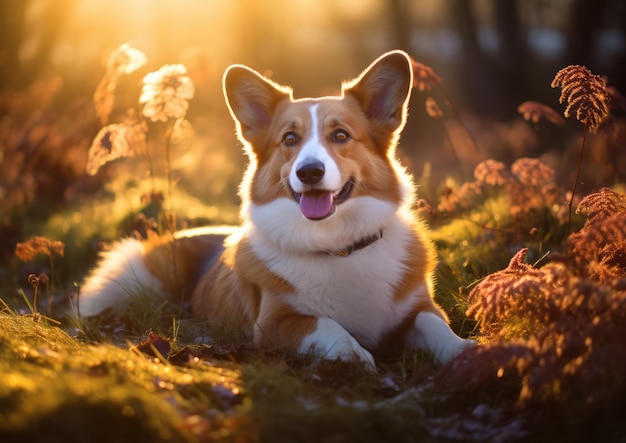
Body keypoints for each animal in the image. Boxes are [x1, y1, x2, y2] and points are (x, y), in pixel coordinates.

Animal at [81, 50, 472, 372]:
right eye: (289, 139)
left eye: (341, 135)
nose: (309, 172)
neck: (337, 245)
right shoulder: (273, 324)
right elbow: (324, 322)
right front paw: (352, 352)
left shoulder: (419, 307)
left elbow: (434, 324)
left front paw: (464, 350)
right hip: (136, 273)